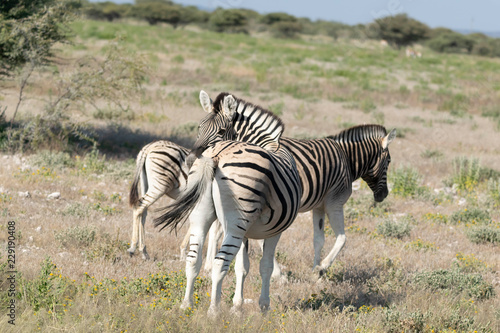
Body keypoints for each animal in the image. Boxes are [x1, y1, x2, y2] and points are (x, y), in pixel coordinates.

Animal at [152, 92, 300, 314]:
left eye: (221, 131)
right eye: (199, 128)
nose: (190, 160)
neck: (270, 145)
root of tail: (214, 156)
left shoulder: (246, 232)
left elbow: (242, 267)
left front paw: (237, 306)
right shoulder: (275, 230)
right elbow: (264, 266)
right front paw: (264, 306)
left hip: (202, 215)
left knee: (193, 259)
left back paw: (186, 305)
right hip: (235, 222)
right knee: (219, 264)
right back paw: (213, 311)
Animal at [193, 91, 396, 274]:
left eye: (219, 131)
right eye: (389, 161)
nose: (383, 195)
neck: (347, 159)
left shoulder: (319, 206)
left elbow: (318, 239)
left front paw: (315, 270)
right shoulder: (335, 203)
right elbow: (342, 238)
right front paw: (322, 267)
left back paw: (209, 265)